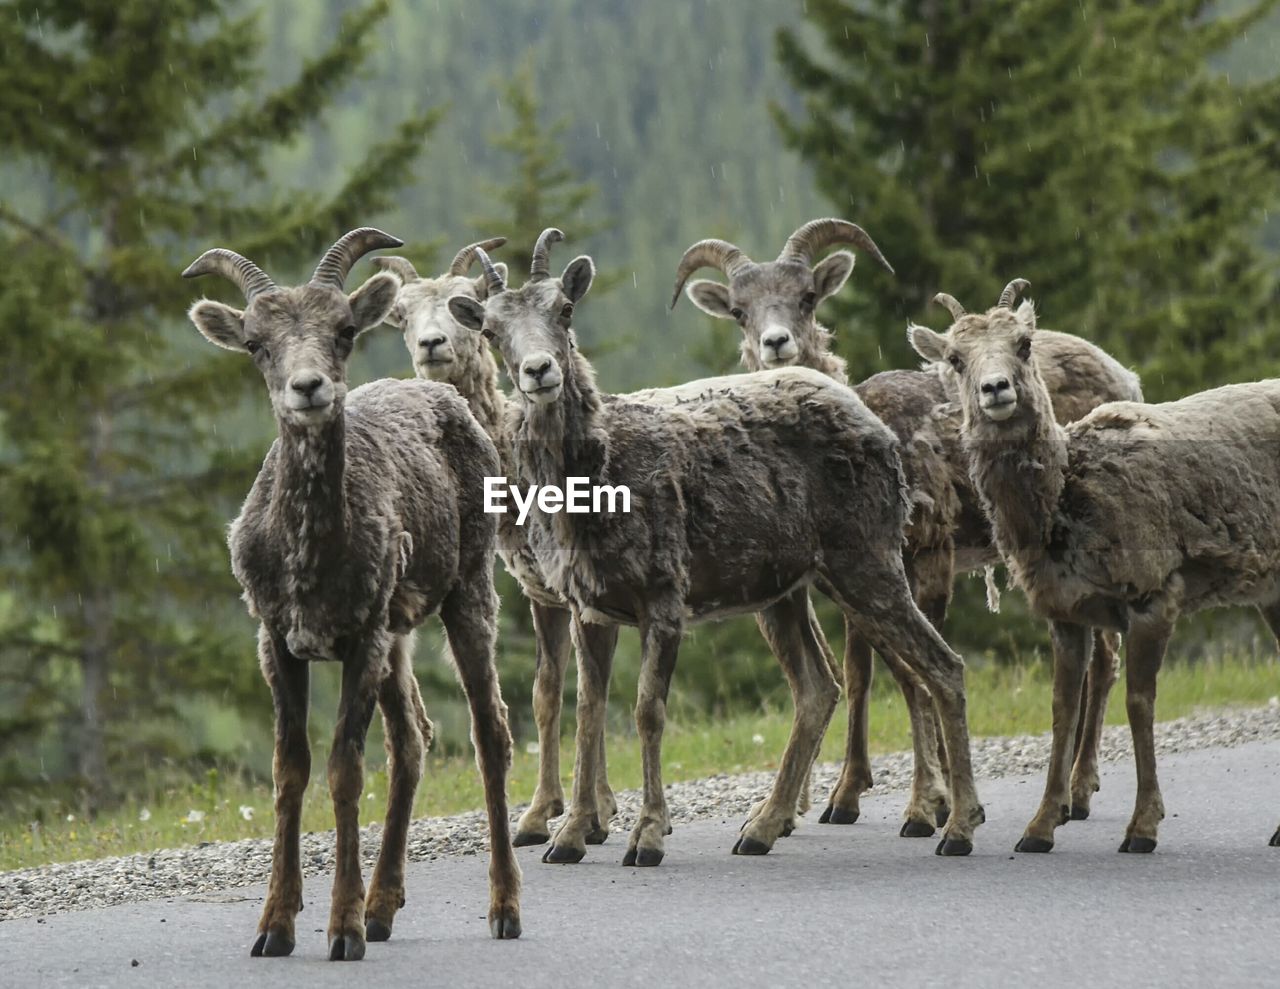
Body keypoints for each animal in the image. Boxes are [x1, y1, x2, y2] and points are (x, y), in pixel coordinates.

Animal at [181, 229, 519, 957]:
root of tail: (455, 405)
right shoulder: (279, 641)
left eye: (343, 331)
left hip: (467, 596)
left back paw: (504, 909)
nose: (308, 388)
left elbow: (344, 771)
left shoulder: (360, 639)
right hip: (400, 637)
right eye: (256, 342)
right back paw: (384, 906)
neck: (310, 557)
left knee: (491, 734)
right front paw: (275, 927)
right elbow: (291, 772)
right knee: (414, 740)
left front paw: (342, 930)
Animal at [445, 236, 983, 864]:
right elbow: (589, 714)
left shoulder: (664, 598)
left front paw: (647, 836)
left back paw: (956, 826)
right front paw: (570, 836)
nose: (538, 370)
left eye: (565, 309)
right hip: (787, 592)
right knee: (820, 688)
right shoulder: (590, 609)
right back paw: (762, 827)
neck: (597, 482)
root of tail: (875, 426)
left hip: (867, 562)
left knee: (941, 666)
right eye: (491, 329)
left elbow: (648, 711)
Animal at [670, 220, 1141, 829]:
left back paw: (1077, 795)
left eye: (807, 297)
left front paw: (927, 806)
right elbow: (867, 671)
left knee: (1103, 660)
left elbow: (917, 676)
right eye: (738, 310)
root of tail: (1125, 378)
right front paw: (839, 799)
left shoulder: (929, 558)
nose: (777, 344)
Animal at [911, 281, 1280, 854]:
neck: (1066, 499)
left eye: (1023, 343)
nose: (995, 389)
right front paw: (1039, 829)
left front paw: (1142, 828)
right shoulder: (1065, 614)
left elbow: (1140, 704)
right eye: (955, 357)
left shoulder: (1153, 597)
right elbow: (1062, 710)